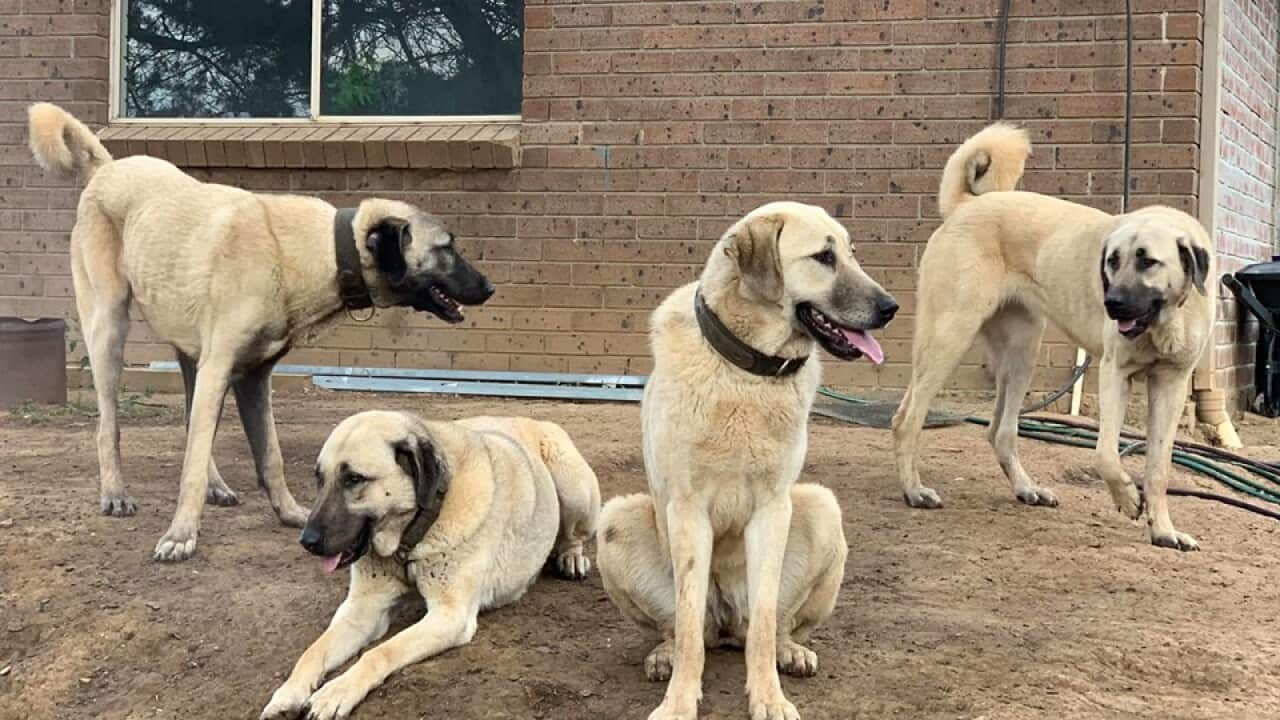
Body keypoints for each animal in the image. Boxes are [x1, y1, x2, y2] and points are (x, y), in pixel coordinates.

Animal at [26, 102, 494, 561]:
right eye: (446, 248)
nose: (489, 287)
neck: (310, 251)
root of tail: (107, 168)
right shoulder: (221, 369)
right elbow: (193, 467)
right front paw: (180, 535)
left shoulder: (252, 377)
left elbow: (269, 455)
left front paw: (288, 512)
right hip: (108, 329)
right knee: (110, 426)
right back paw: (116, 493)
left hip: (190, 353)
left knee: (191, 424)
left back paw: (216, 485)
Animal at [263, 409, 599, 717]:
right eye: (319, 478)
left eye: (354, 479)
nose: (306, 540)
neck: (411, 537)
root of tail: (526, 418)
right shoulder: (361, 610)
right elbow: (314, 651)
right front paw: (288, 693)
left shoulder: (449, 617)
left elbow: (379, 652)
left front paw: (337, 691)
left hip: (572, 486)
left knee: (573, 535)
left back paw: (570, 557)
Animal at [596, 199, 890, 717]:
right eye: (824, 257)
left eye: (852, 253)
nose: (890, 308)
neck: (747, 374)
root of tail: (727, 622)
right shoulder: (688, 510)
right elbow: (688, 625)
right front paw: (679, 702)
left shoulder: (772, 509)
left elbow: (768, 620)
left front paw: (769, 698)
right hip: (617, 519)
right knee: (681, 627)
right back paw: (665, 655)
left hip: (821, 509)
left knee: (773, 624)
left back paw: (789, 650)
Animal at [896, 121, 1213, 548]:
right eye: (1111, 261)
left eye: (1148, 261)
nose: (1110, 303)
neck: (1164, 319)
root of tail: (965, 205)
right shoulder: (1114, 374)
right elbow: (1106, 455)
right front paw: (1129, 499)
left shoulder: (1171, 385)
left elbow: (1159, 467)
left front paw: (1163, 529)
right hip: (949, 336)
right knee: (907, 418)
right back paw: (914, 491)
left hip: (1022, 352)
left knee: (1000, 432)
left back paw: (1026, 489)